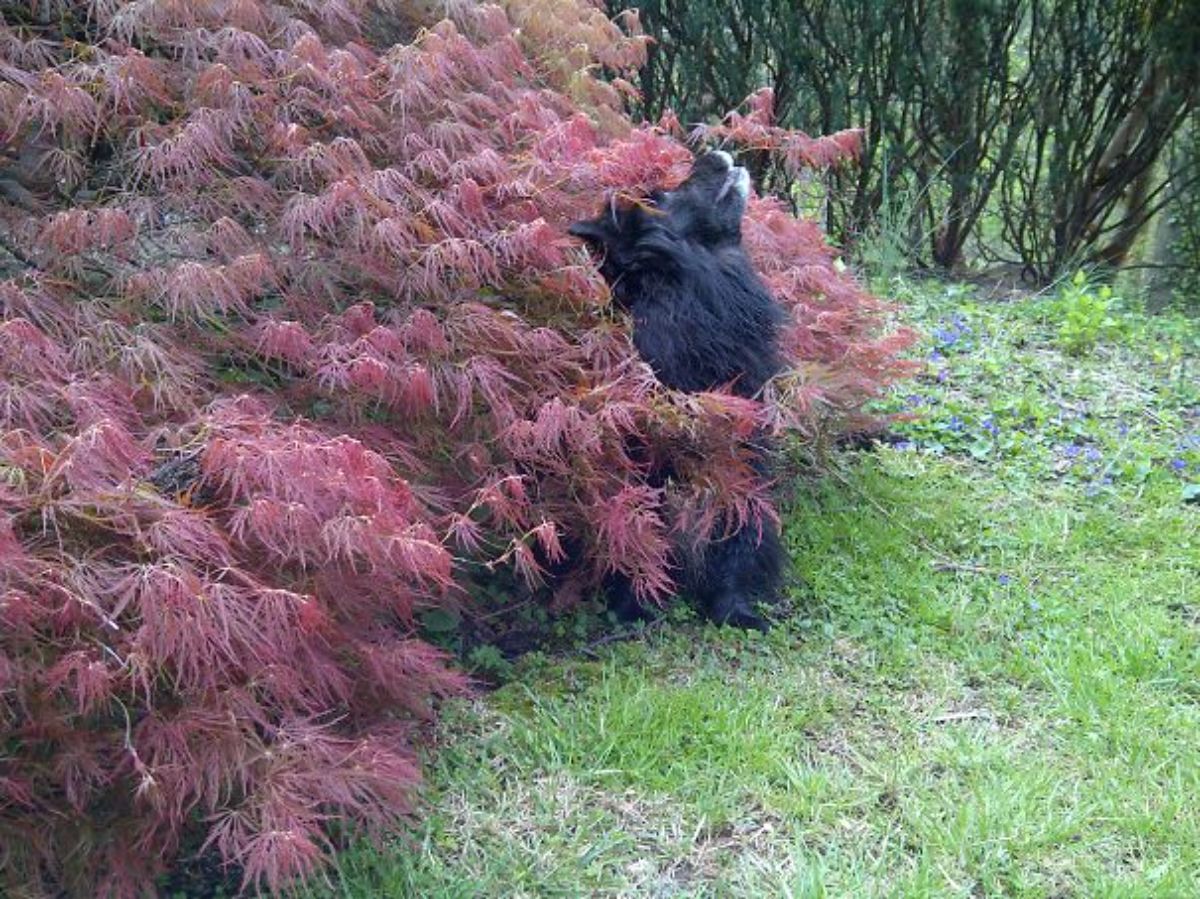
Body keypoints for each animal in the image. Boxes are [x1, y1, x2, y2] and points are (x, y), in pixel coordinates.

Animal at [571, 150, 787, 628]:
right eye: (659, 197)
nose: (715, 154)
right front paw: (634, 606)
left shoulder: (741, 458)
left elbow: (736, 538)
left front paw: (734, 606)